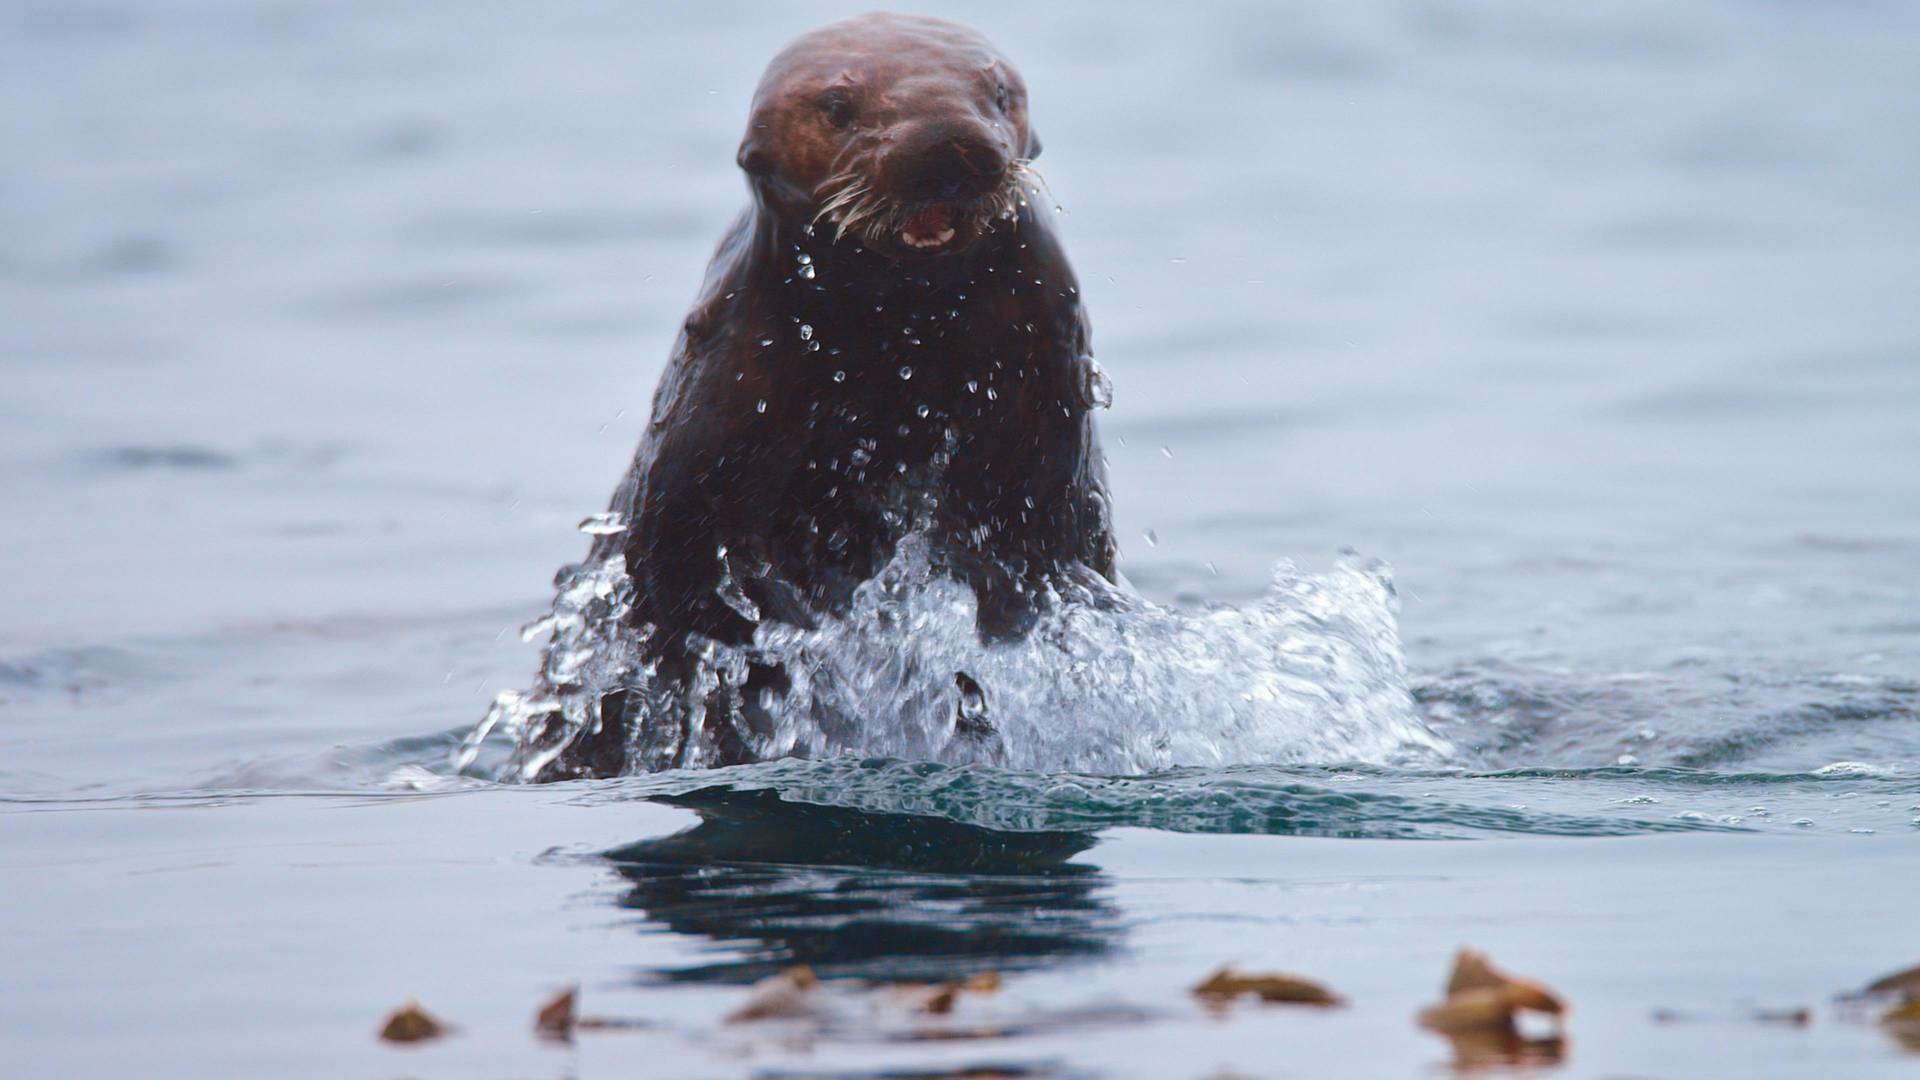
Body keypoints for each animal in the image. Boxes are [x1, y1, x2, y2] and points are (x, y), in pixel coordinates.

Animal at [510, 12, 1121, 776]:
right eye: (838, 107)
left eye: (1000, 93)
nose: (949, 141)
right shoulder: (727, 395)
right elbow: (684, 573)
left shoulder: (1037, 366)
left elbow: (1030, 539)